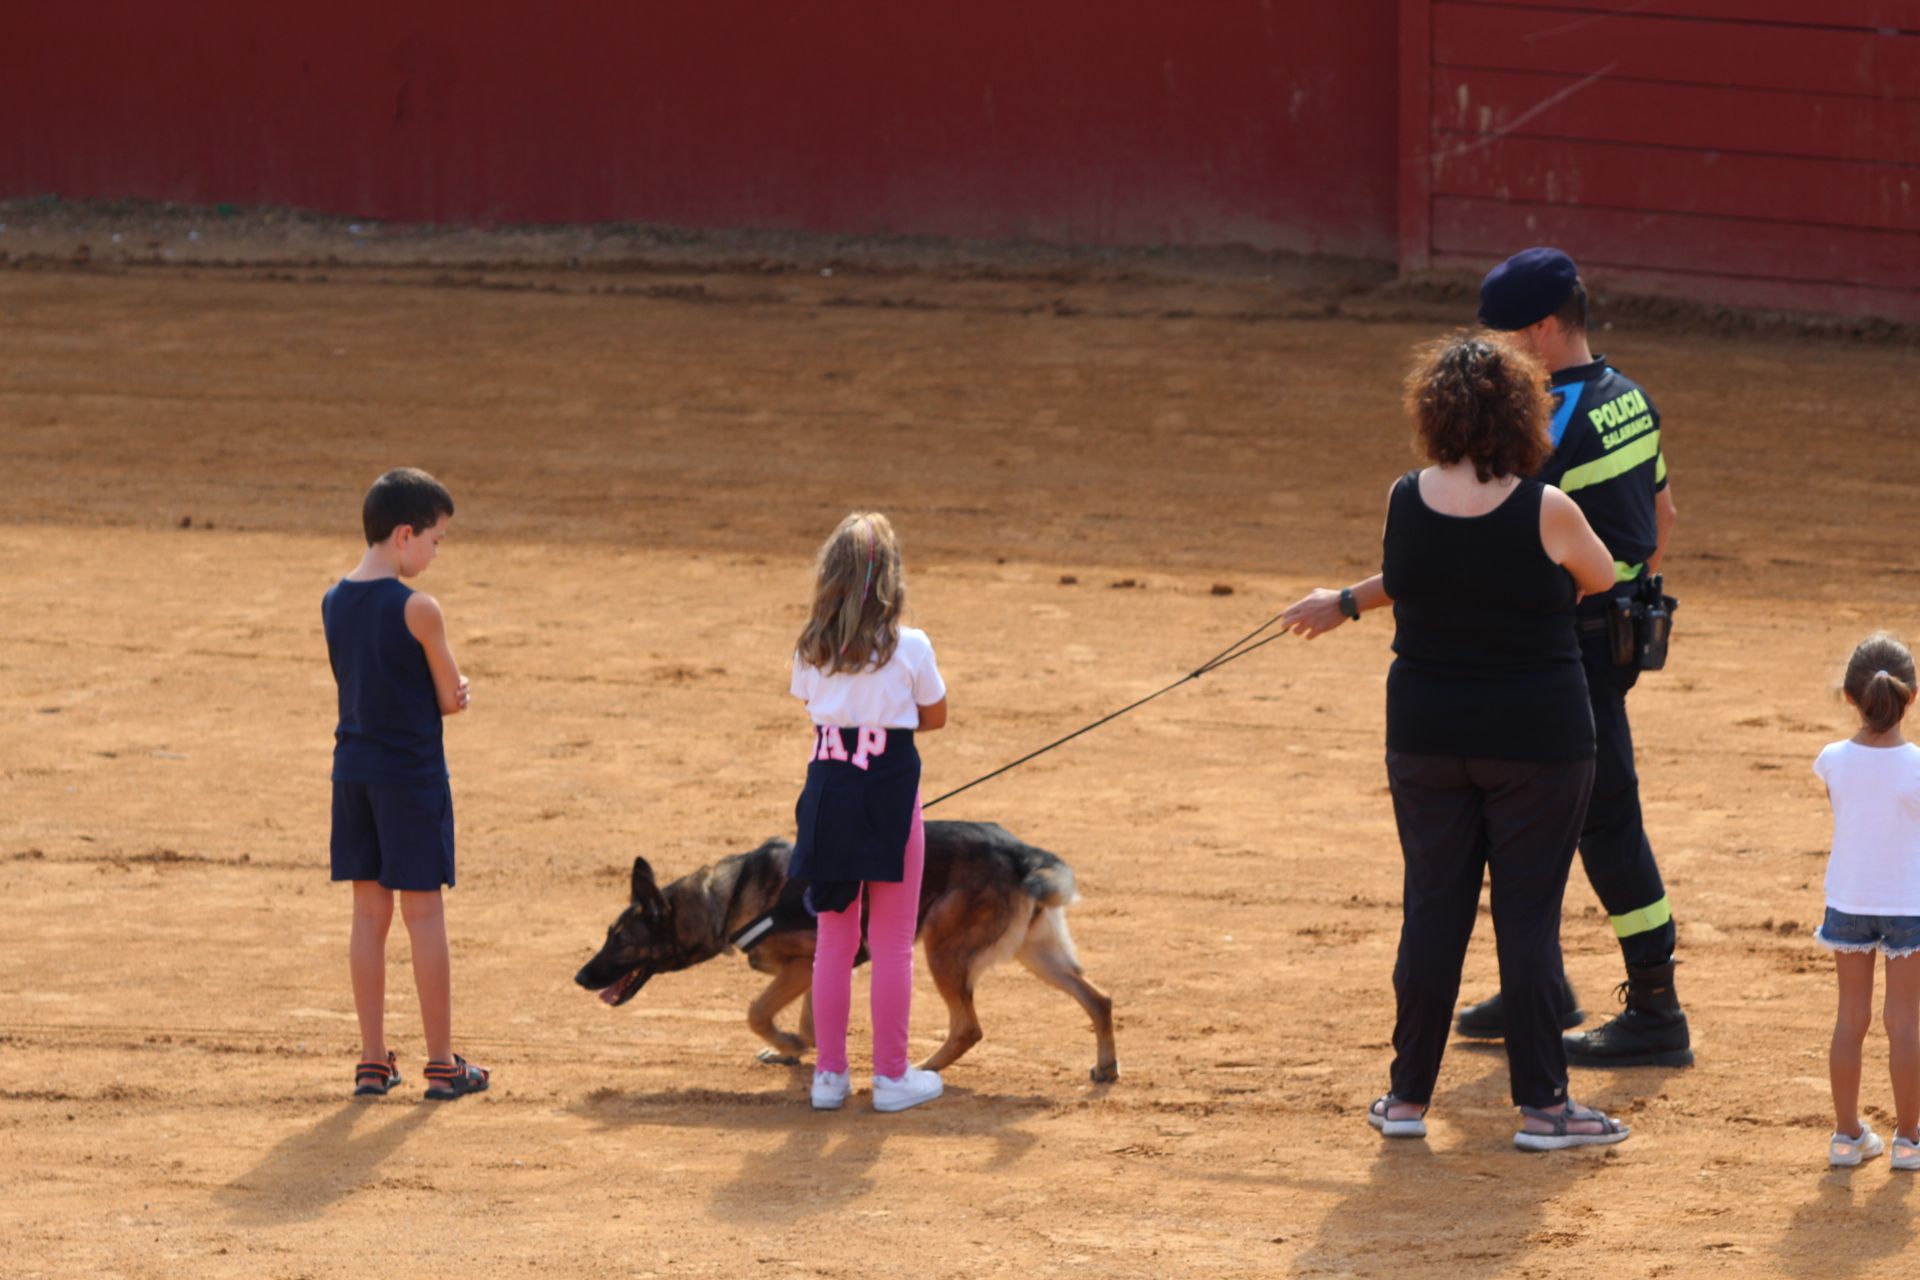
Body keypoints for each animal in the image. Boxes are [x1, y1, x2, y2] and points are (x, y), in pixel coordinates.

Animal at [568, 821, 1121, 1082]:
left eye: (620, 940)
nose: (579, 977)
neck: (723, 898)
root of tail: (1021, 853)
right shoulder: (822, 966)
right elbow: (814, 1018)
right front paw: (799, 1051)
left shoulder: (802, 963)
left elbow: (758, 1011)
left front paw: (789, 1043)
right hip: (1039, 954)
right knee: (1099, 999)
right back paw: (1106, 1068)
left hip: (943, 949)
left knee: (969, 1027)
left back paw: (922, 1069)